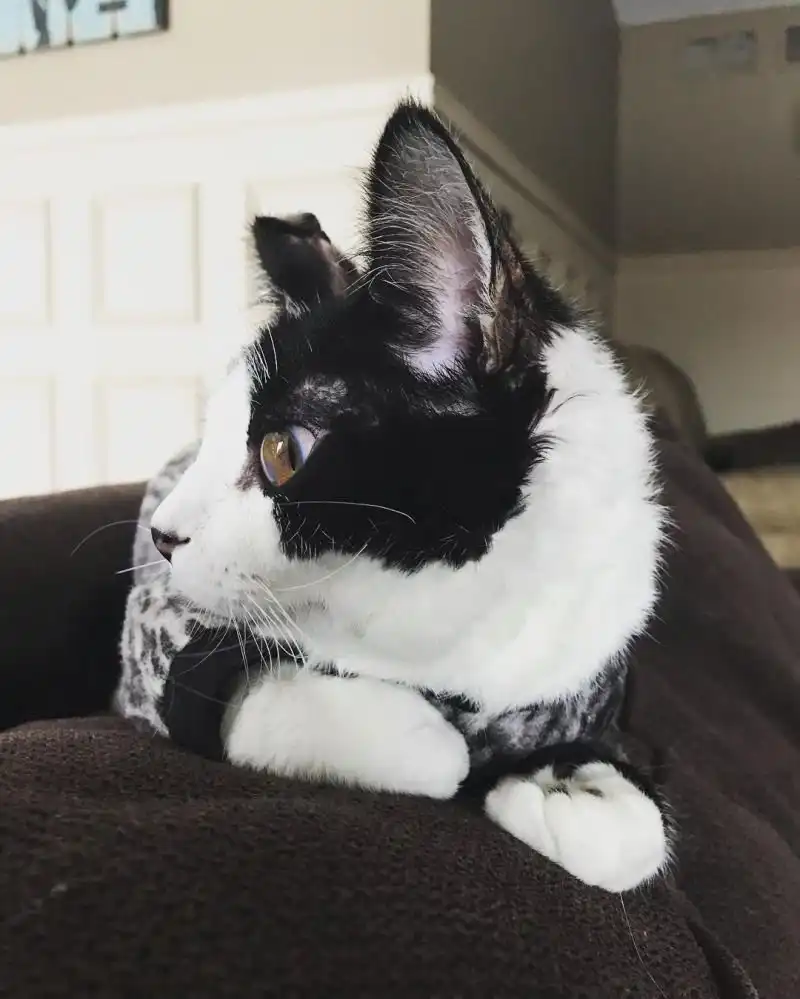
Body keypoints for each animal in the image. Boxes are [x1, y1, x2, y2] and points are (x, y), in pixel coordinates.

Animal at [138, 101, 670, 893]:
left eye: (282, 453)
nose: (163, 536)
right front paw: (448, 747)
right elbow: (428, 753)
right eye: (206, 443)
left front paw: (559, 788)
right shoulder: (183, 661)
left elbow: (629, 836)